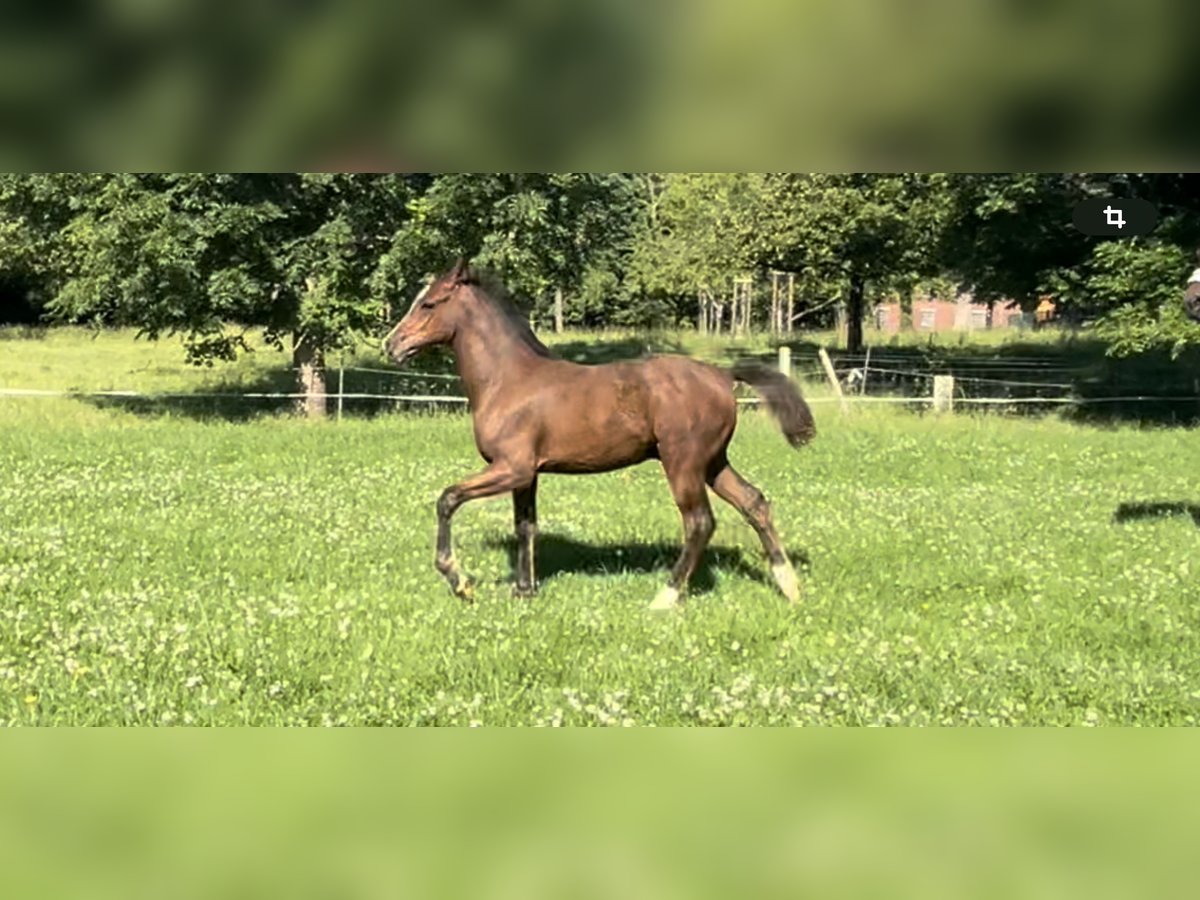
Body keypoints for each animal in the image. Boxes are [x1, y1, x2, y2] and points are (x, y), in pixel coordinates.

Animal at [384, 260, 816, 614]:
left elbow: (448, 498)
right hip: (713, 462)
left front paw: (460, 582)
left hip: (684, 463)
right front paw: (524, 591)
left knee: (699, 523)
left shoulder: (511, 468)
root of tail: (723, 376)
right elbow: (525, 525)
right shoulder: (527, 474)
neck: (508, 380)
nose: (392, 344)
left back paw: (664, 598)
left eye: (428, 305)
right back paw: (790, 587)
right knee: (754, 502)